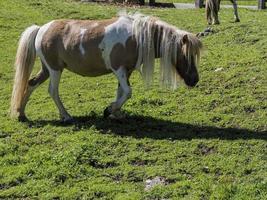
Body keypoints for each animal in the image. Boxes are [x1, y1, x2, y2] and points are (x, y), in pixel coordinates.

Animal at [10, 12, 203, 122]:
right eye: (186, 55)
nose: (194, 80)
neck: (136, 36)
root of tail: (41, 28)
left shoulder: (126, 71)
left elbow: (121, 92)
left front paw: (116, 113)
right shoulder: (119, 70)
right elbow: (128, 92)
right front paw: (109, 109)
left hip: (47, 69)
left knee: (30, 83)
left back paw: (21, 114)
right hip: (55, 70)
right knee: (52, 91)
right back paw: (66, 116)